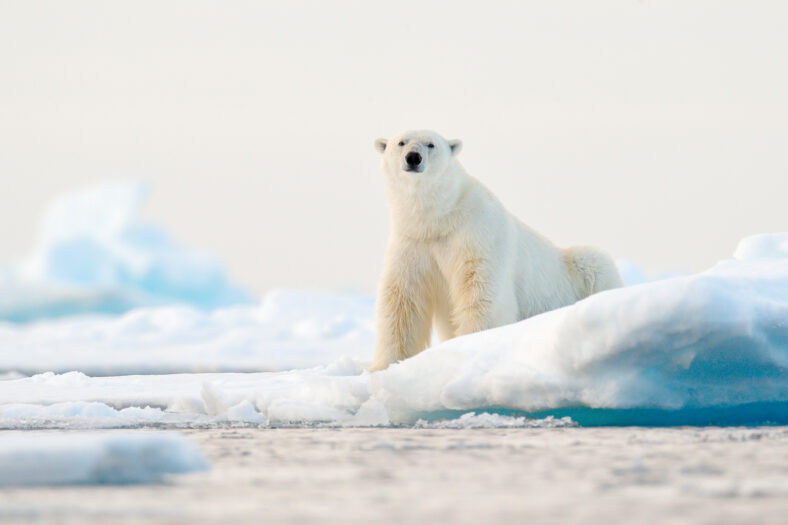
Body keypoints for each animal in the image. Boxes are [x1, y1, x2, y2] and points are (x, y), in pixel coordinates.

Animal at [368, 129, 620, 370]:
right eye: (401, 142)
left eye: (431, 144)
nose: (413, 157)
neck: (440, 218)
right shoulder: (413, 243)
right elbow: (403, 300)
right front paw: (382, 366)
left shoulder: (477, 233)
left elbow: (480, 289)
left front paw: (472, 344)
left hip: (578, 270)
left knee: (595, 263)